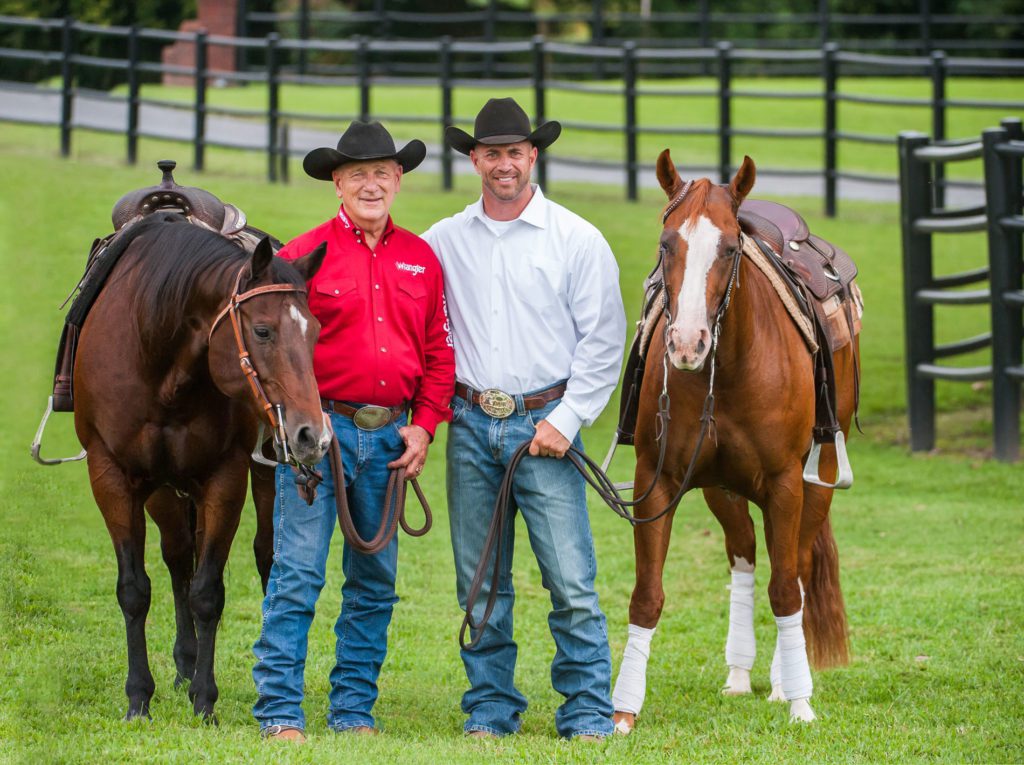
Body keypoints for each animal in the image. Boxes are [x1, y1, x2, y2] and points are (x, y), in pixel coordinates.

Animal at [76, 211, 331, 720]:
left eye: (314, 332)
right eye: (263, 331)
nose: (311, 434)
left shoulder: (224, 477)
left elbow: (208, 592)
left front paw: (204, 700)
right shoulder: (112, 475)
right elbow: (135, 589)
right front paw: (139, 697)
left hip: (260, 472)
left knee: (263, 555)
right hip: (162, 490)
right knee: (178, 556)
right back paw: (183, 664)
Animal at [610, 152, 860, 733]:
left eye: (728, 248)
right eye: (666, 245)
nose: (687, 343)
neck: (726, 370)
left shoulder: (787, 484)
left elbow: (786, 590)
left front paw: (800, 704)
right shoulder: (660, 482)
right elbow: (646, 596)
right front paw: (623, 711)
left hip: (818, 482)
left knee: (797, 569)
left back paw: (784, 681)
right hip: (721, 489)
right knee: (744, 555)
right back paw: (741, 674)